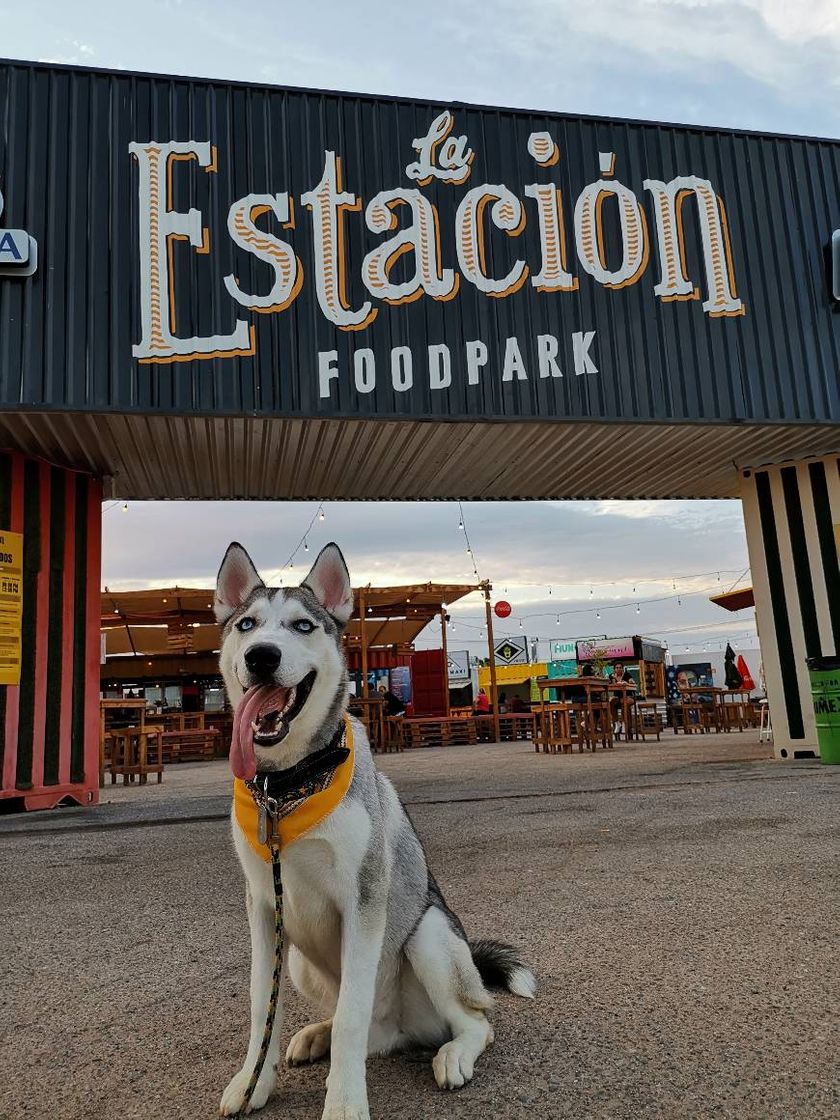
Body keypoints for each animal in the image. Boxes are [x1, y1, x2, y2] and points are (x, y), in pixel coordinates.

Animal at [213, 537, 535, 1115]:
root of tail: (398, 1031)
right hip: (301, 962)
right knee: (356, 1027)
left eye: (302, 626)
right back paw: (316, 1034)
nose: (261, 655)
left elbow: (351, 1015)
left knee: (472, 1021)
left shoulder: (363, 901)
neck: (286, 789)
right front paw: (253, 1079)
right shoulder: (264, 907)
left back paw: (454, 1053)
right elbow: (261, 1005)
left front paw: (343, 1102)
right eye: (247, 625)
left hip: (428, 936)